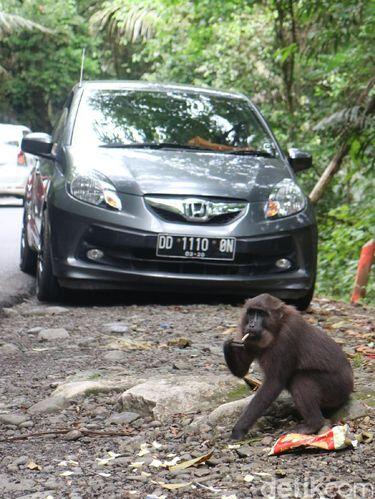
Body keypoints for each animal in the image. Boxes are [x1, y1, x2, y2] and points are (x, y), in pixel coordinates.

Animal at [225, 294, 354, 440]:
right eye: (251, 313)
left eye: (261, 314)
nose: (252, 324)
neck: (277, 327)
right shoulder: (245, 333)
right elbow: (242, 372)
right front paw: (229, 345)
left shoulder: (287, 335)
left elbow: (274, 383)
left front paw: (239, 429)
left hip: (337, 389)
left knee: (300, 379)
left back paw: (313, 424)